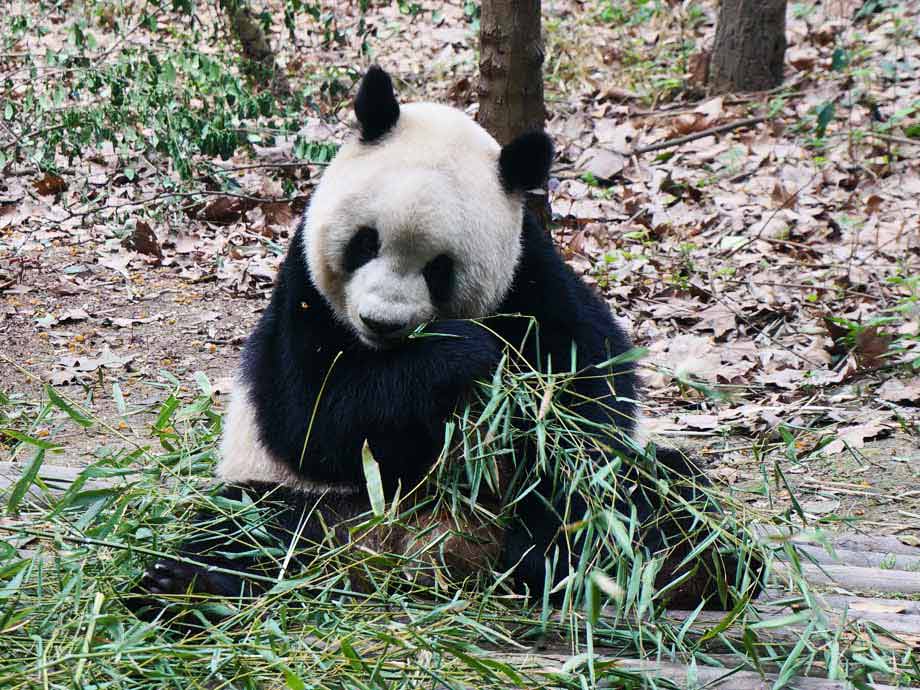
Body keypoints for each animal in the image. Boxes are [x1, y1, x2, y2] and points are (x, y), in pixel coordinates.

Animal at [132, 66, 756, 620]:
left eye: (439, 269)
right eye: (365, 242)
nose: (381, 322)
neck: (389, 356)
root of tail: (432, 553)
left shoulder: (531, 274)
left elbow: (590, 394)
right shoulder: (303, 293)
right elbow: (311, 416)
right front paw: (465, 356)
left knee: (664, 489)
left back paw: (680, 562)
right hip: (315, 501)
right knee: (246, 525)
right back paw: (183, 584)